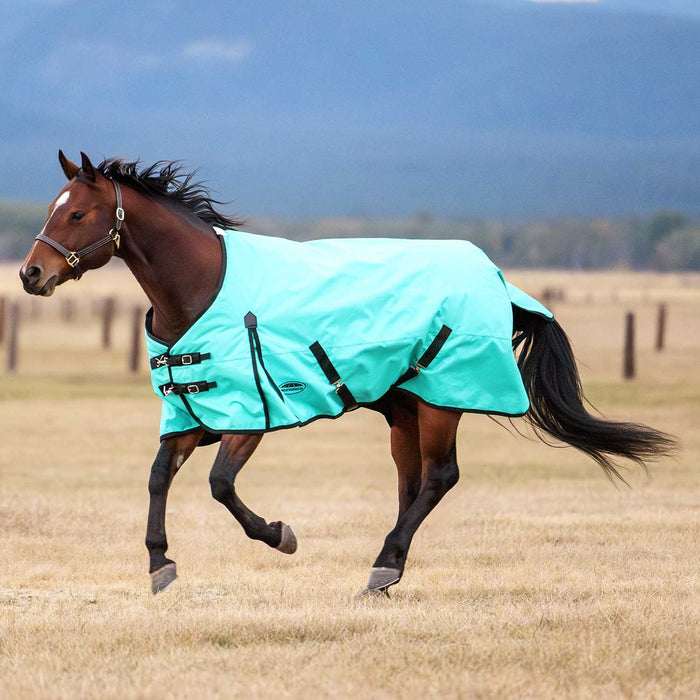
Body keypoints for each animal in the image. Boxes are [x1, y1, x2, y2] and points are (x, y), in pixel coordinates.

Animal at [19, 151, 676, 596]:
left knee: (441, 477)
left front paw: (281, 535)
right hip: (405, 411)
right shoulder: (191, 413)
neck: (202, 288)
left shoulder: (249, 417)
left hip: (441, 402)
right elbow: (158, 478)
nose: (31, 274)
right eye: (54, 207)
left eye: (77, 212)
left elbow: (221, 486)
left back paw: (383, 564)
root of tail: (494, 274)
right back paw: (388, 570)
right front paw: (160, 566)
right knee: (414, 483)